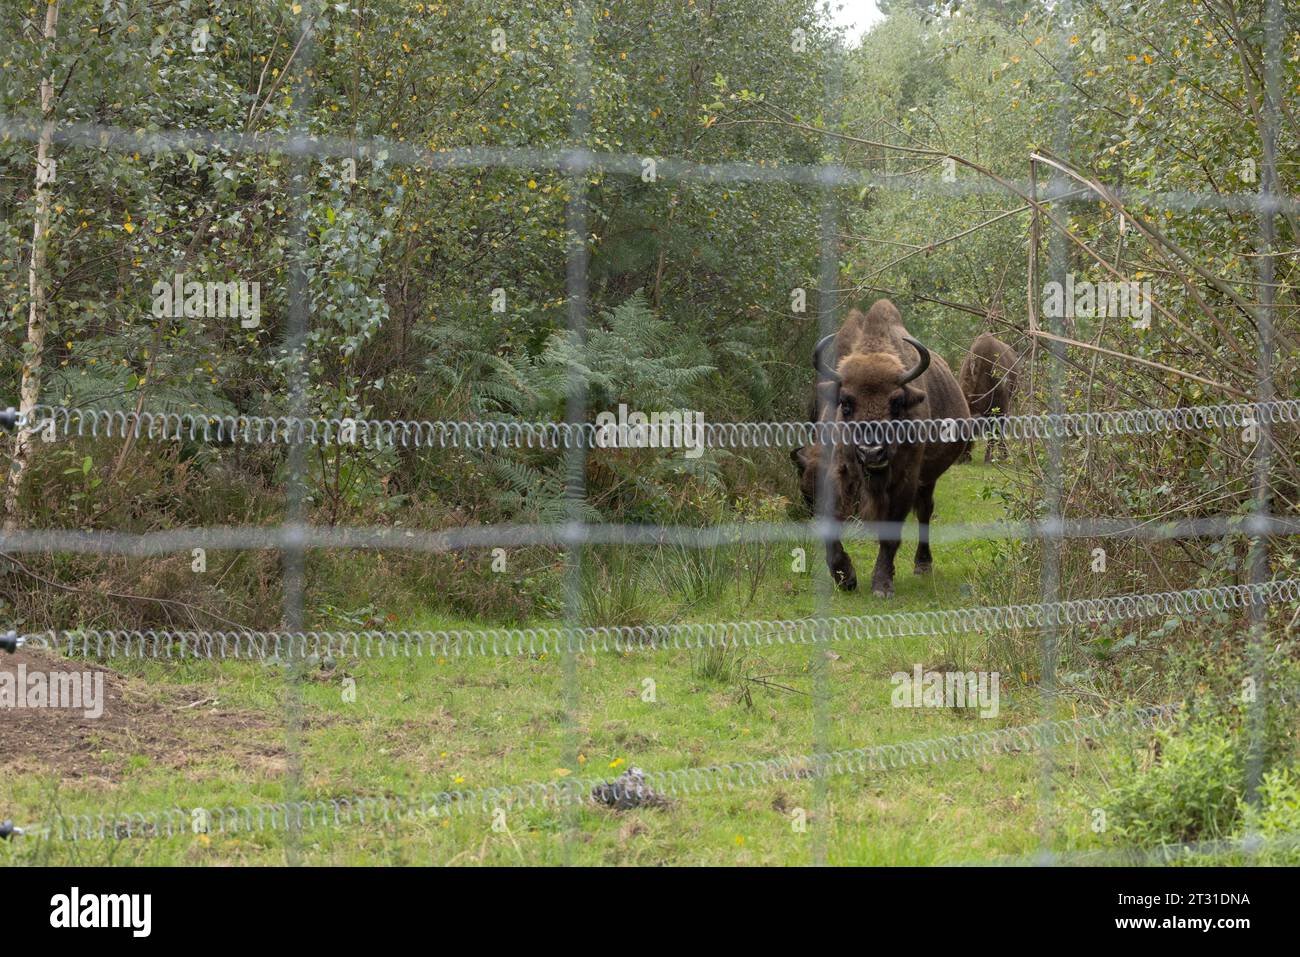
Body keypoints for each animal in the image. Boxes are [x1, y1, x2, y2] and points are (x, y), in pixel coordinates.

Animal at [785, 300, 972, 598]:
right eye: (845, 403)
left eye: (896, 403)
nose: (872, 452)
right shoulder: (838, 474)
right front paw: (845, 578)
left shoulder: (904, 482)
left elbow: (891, 534)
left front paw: (882, 585)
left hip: (928, 479)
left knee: (924, 511)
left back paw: (922, 565)